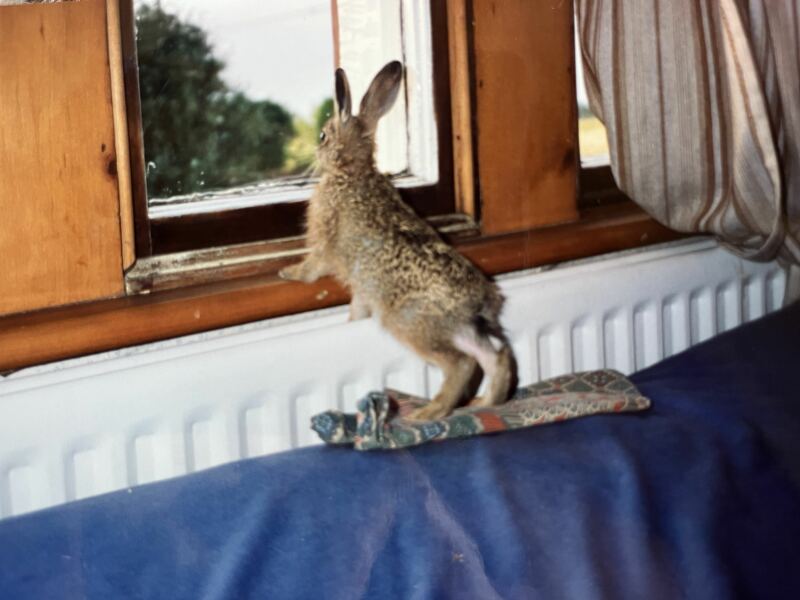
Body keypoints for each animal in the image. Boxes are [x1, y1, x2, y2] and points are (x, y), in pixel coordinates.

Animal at [279, 61, 515, 421]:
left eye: (322, 135)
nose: (316, 150)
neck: (351, 171)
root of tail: (479, 302)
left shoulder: (324, 243)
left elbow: (312, 267)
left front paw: (287, 273)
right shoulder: (363, 289)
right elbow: (357, 306)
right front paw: (352, 321)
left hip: (409, 324)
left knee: (461, 364)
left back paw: (427, 414)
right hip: (456, 330)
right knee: (494, 357)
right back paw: (486, 403)